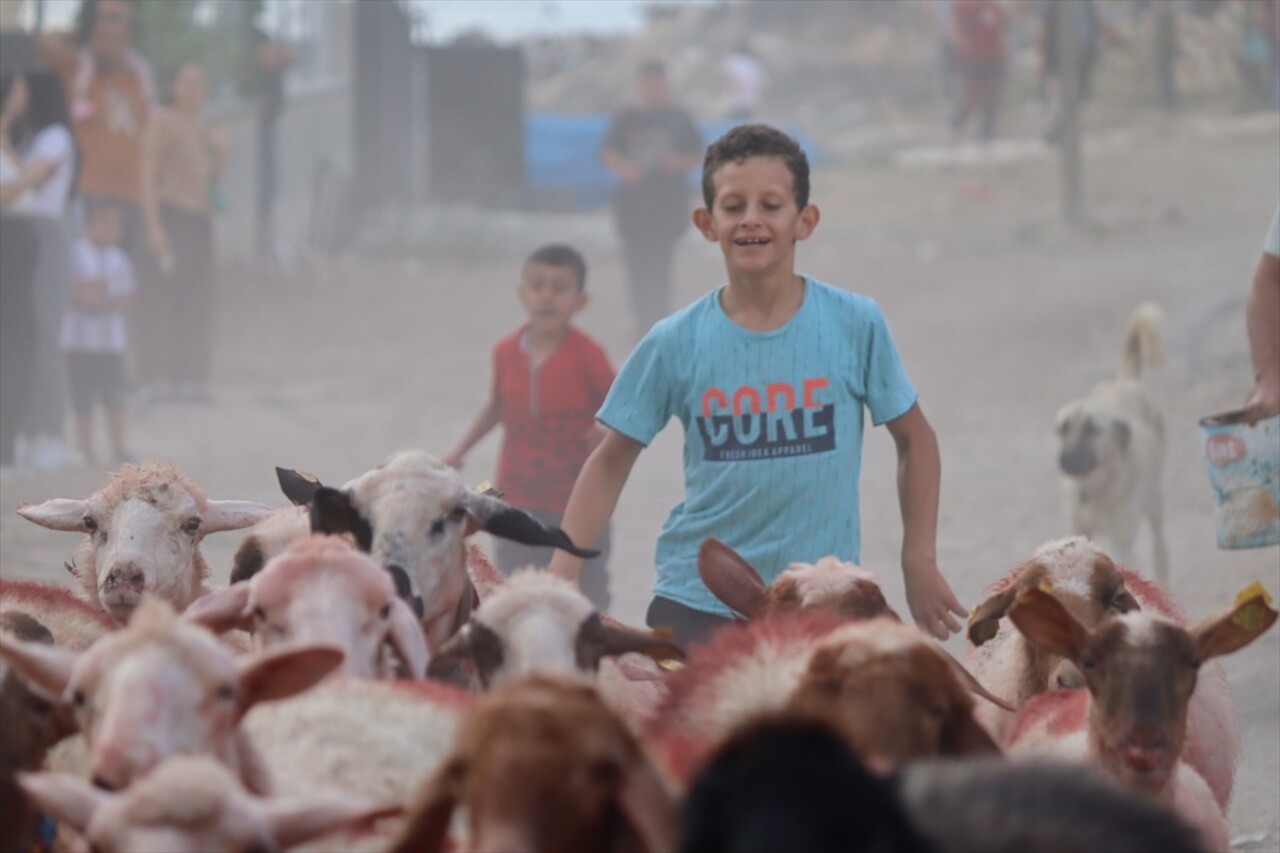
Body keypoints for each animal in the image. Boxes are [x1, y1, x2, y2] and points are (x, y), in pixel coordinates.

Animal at [1049, 303, 1172, 584]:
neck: (1094, 489)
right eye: (1063, 428)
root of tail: (1125, 381)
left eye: (1092, 429)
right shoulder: (1078, 531)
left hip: (1155, 502)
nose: (1064, 460)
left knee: (1160, 549)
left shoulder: (1122, 542)